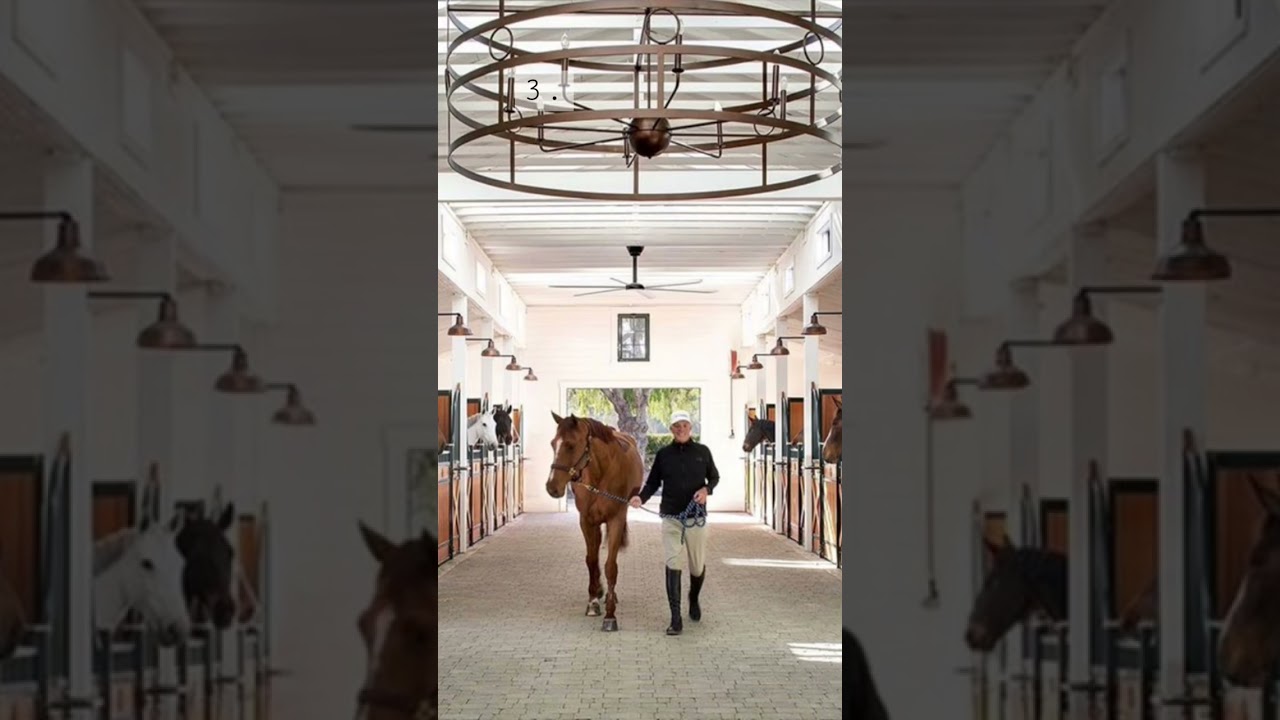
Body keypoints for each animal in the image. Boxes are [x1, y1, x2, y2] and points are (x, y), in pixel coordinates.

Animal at [545, 412, 643, 632]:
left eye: (571, 445)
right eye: (553, 443)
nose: (552, 487)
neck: (601, 474)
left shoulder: (616, 520)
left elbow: (610, 566)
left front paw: (610, 615)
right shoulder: (586, 521)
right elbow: (591, 560)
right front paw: (593, 601)